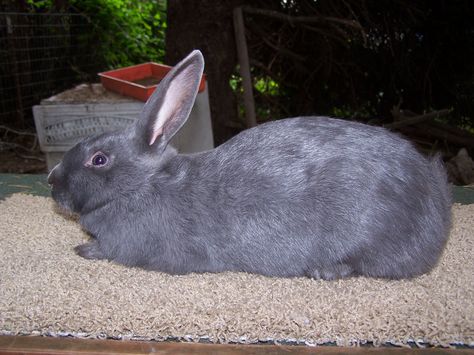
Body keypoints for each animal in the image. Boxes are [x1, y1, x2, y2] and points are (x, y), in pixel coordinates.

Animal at [48, 50, 452, 280]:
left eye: (99, 159)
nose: (52, 181)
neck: (143, 186)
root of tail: (437, 200)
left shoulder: (131, 247)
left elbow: (109, 251)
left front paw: (83, 250)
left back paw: (324, 270)